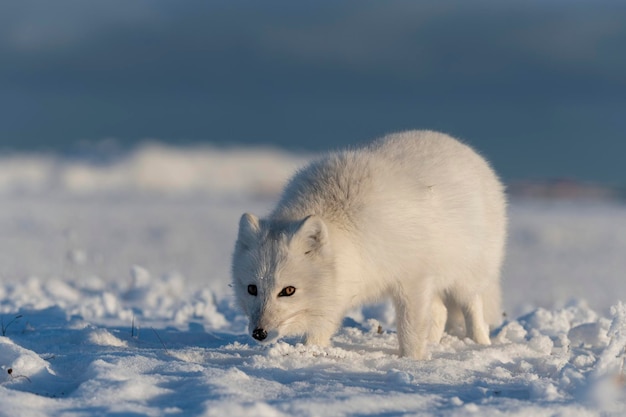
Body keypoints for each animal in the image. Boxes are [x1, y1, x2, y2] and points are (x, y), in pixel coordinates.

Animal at [232, 129, 504, 358]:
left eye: (288, 291)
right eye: (252, 289)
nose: (259, 333)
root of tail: (463, 148)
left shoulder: (412, 280)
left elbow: (410, 329)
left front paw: (411, 361)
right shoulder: (335, 291)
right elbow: (320, 330)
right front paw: (311, 353)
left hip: (466, 276)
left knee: (472, 307)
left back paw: (480, 344)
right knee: (441, 312)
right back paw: (435, 344)